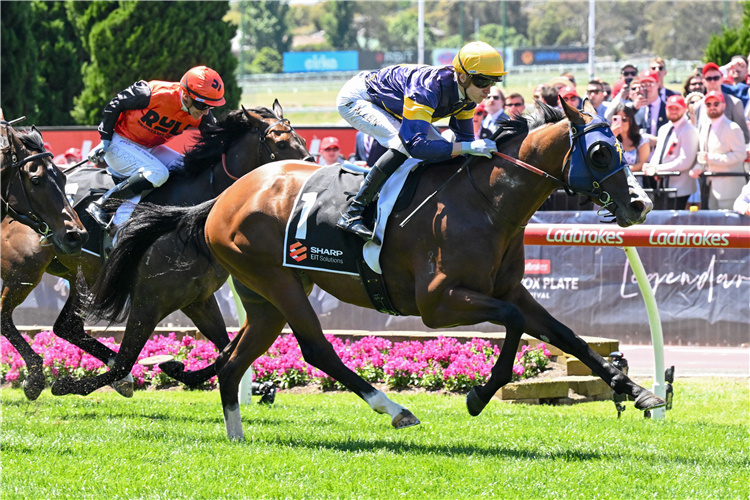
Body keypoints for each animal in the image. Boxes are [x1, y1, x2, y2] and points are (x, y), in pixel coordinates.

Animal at [82, 99, 668, 440]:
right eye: (599, 152)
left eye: (620, 143)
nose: (640, 204)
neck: (487, 200)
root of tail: (223, 197)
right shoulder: (438, 302)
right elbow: (516, 325)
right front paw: (479, 395)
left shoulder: (510, 289)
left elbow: (565, 334)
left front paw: (639, 393)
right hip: (276, 281)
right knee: (315, 349)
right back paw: (395, 409)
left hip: (262, 293)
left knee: (232, 361)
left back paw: (234, 432)